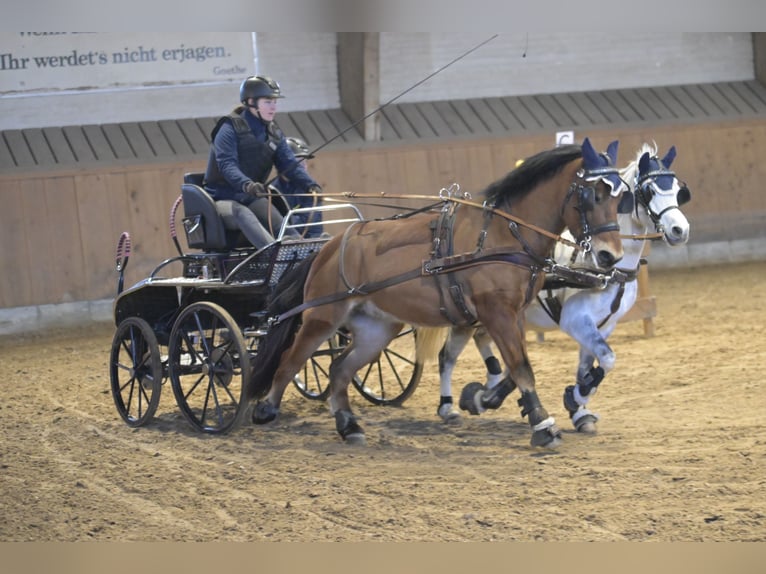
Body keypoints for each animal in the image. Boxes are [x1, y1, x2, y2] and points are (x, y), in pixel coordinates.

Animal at [249, 138, 628, 450]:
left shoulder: (515, 313)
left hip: (375, 329)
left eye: (620, 198)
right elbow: (520, 368)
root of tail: (328, 246)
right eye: (593, 195)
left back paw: (348, 425)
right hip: (322, 316)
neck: (504, 233)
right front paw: (542, 426)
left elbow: (516, 366)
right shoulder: (496, 312)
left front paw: (500, 403)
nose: (610, 256)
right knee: (291, 360)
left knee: (339, 368)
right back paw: (265, 409)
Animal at [440, 143, 692, 432]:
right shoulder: (576, 319)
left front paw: (579, 409)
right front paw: (573, 399)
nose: (680, 230)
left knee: (471, 345)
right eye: (649, 190)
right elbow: (607, 359)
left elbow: (589, 367)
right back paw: (450, 405)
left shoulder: (603, 325)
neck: (608, 271)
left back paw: (479, 392)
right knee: (448, 356)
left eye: (678, 190)